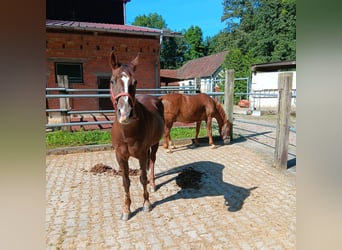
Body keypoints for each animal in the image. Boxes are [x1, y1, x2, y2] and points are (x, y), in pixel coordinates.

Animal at [109, 51, 164, 221]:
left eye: (135, 81)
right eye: (112, 80)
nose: (125, 113)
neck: (127, 131)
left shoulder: (141, 154)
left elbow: (143, 178)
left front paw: (146, 203)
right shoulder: (120, 156)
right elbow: (126, 182)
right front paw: (126, 210)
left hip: (154, 145)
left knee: (152, 162)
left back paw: (153, 184)